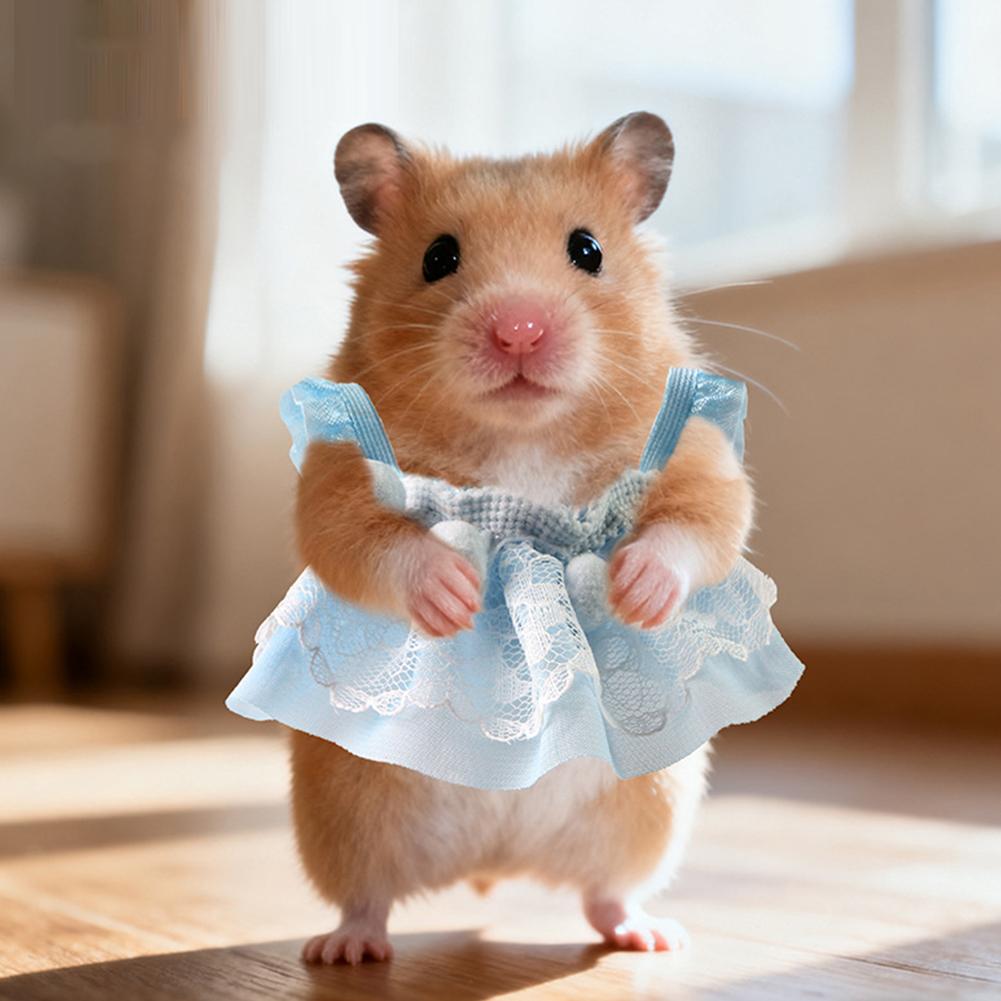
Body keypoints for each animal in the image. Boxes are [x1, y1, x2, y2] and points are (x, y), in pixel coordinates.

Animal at [292, 112, 753, 964]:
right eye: (439, 256)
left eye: (587, 249)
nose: (518, 331)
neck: (521, 436)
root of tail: (493, 862)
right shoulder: (334, 479)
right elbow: (364, 540)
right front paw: (454, 593)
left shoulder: (700, 459)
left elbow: (698, 523)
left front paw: (634, 590)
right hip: (345, 814)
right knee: (366, 895)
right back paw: (345, 950)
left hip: (647, 810)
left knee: (605, 893)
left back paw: (650, 937)